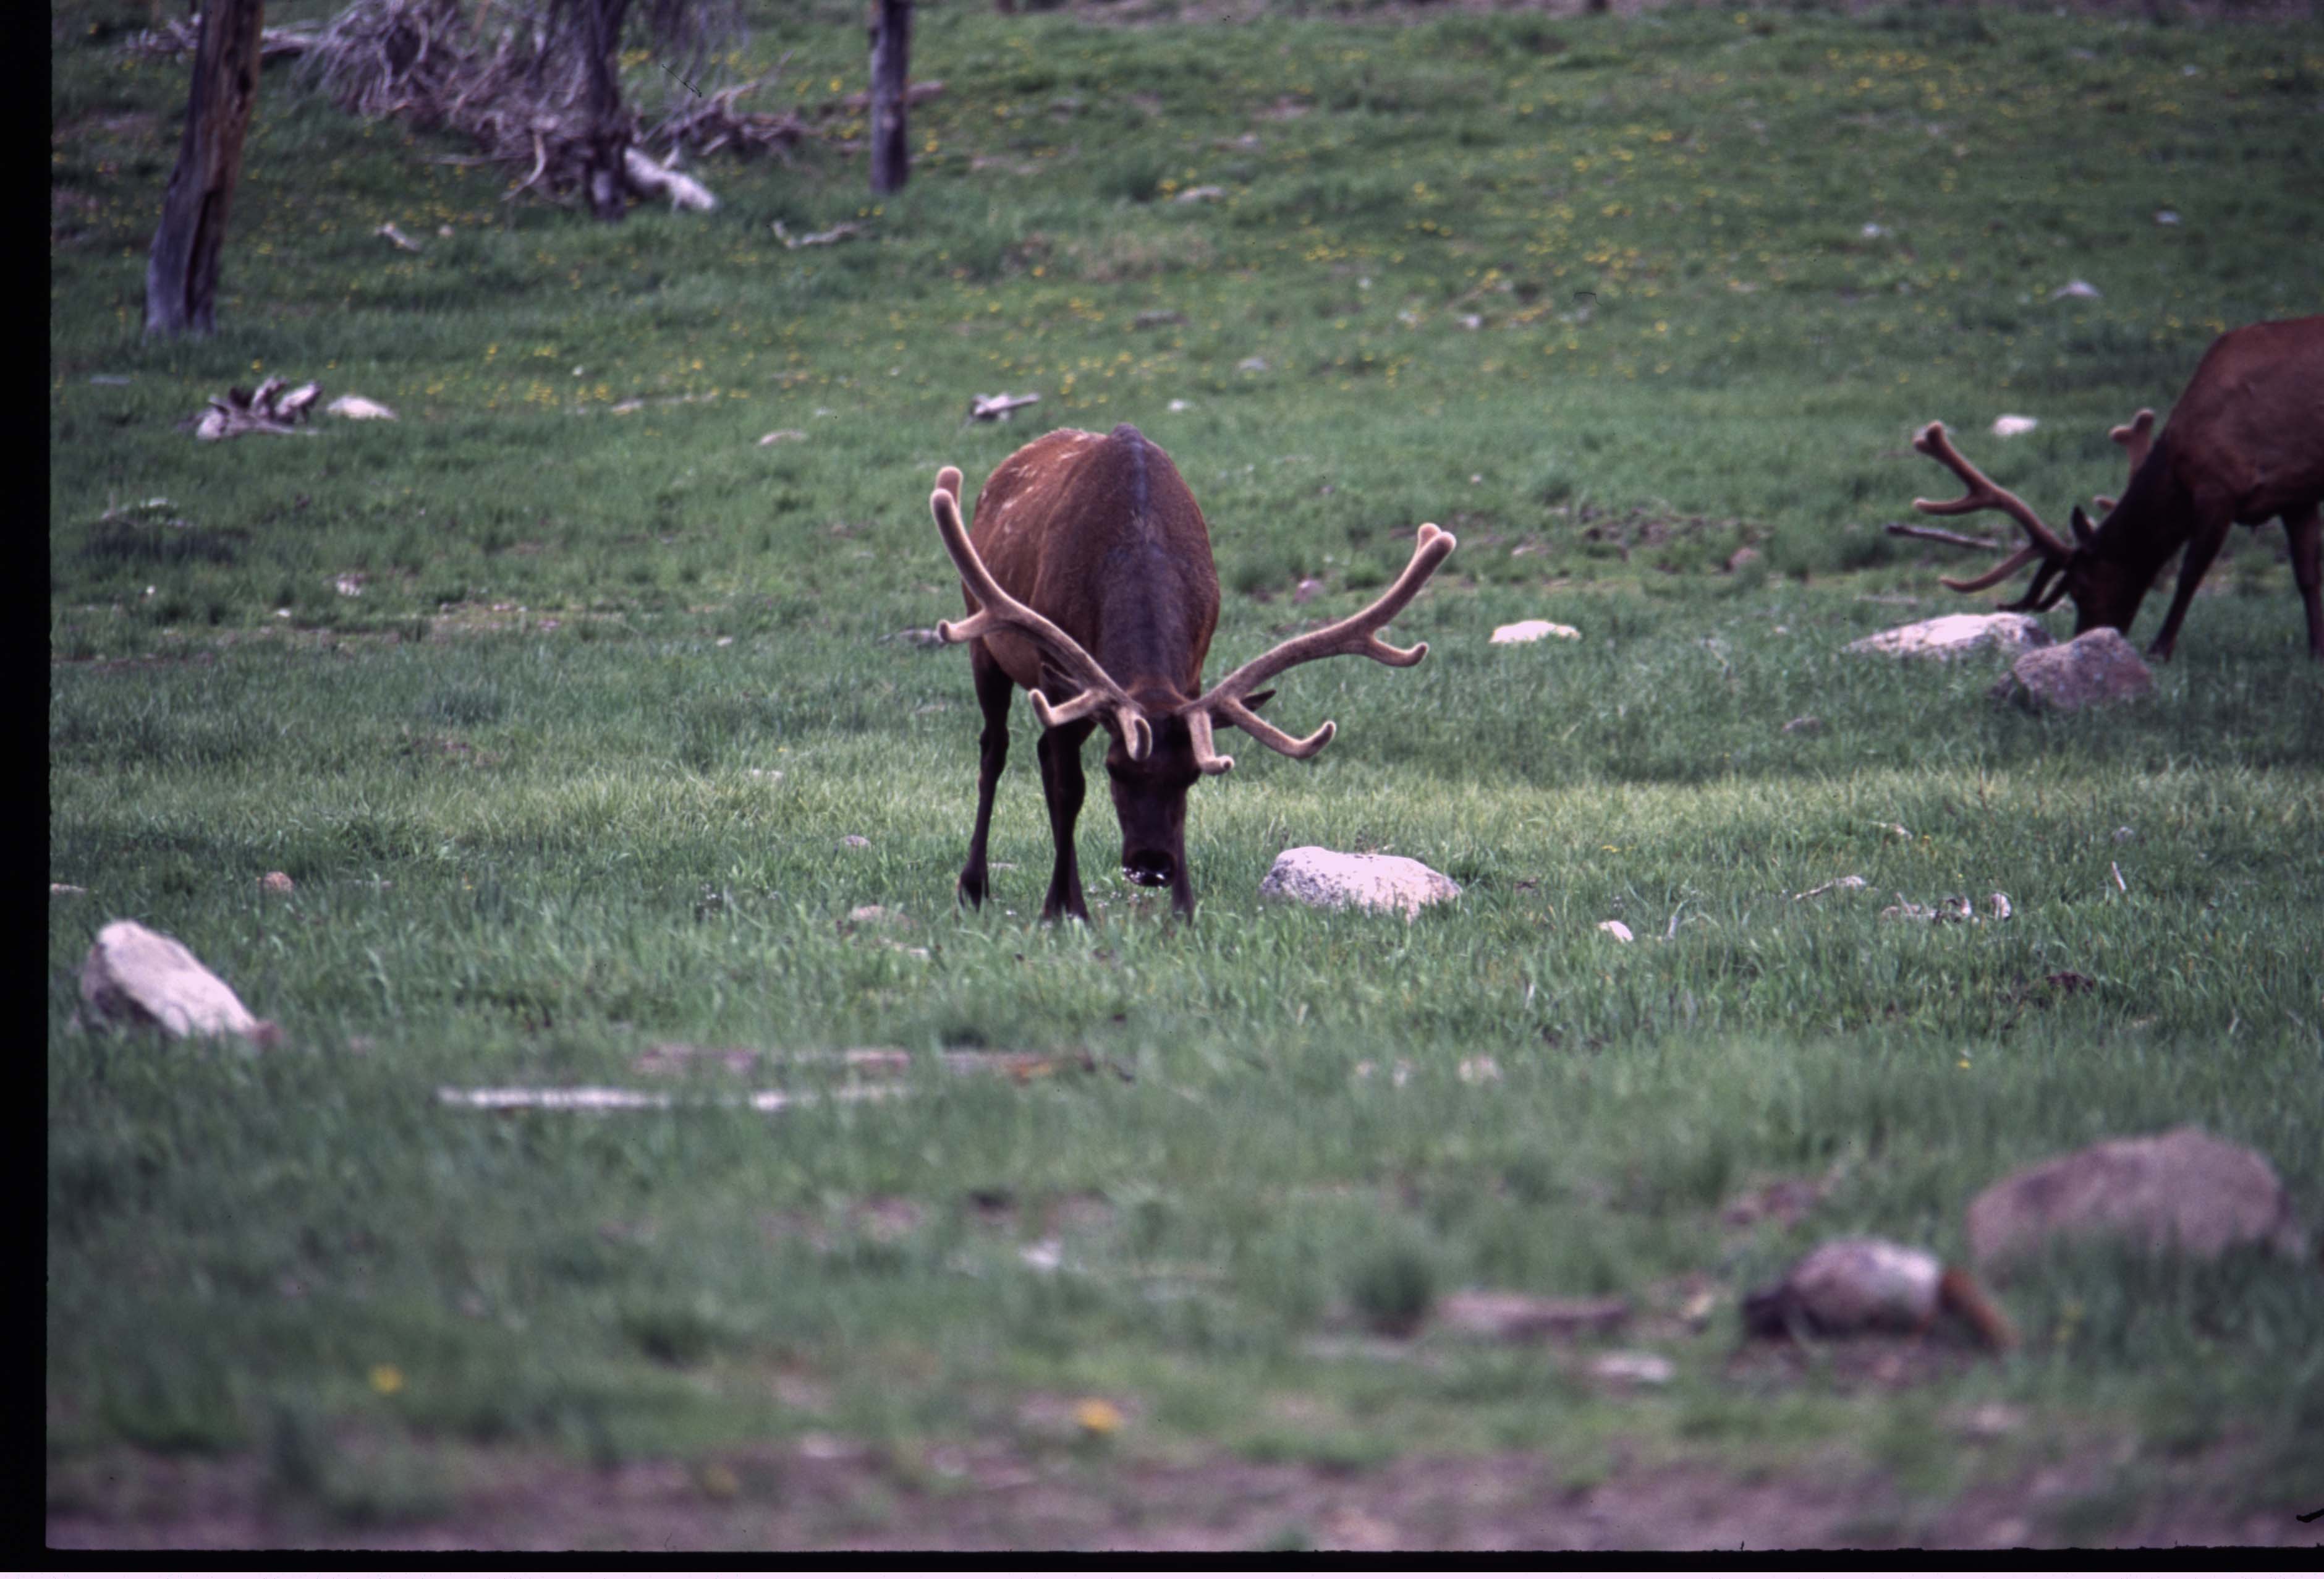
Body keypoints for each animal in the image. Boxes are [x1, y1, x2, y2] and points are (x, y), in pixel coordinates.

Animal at [925, 425, 1456, 921]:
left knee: (1039, 751)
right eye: (1114, 769)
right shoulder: (1054, 671)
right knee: (996, 749)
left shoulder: (1193, 671)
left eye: (1190, 777)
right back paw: (975, 886)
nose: (1152, 867)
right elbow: (1069, 789)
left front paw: (1185, 911)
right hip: (983, 637)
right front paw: (1062, 911)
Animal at [1888, 316, 2324, 661]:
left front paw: (2159, 649)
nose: (2084, 639)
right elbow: (2307, 576)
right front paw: (2315, 651)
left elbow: (2189, 574)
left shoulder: (2221, 485)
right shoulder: (2297, 492)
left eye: (2079, 588)